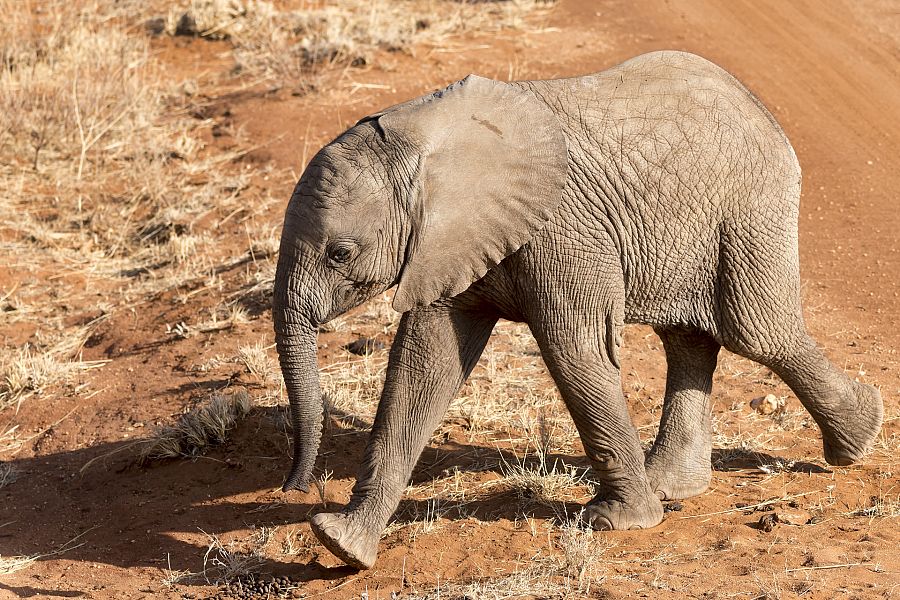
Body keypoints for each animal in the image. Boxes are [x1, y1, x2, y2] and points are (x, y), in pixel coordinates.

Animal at [272, 50, 884, 569]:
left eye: (340, 253)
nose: (292, 485)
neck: (422, 136)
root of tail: (753, 100)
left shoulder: (560, 232)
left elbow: (575, 351)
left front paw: (619, 522)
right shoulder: (447, 240)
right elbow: (424, 364)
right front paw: (342, 544)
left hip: (752, 202)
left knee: (758, 331)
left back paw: (859, 438)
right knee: (689, 338)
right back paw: (673, 484)